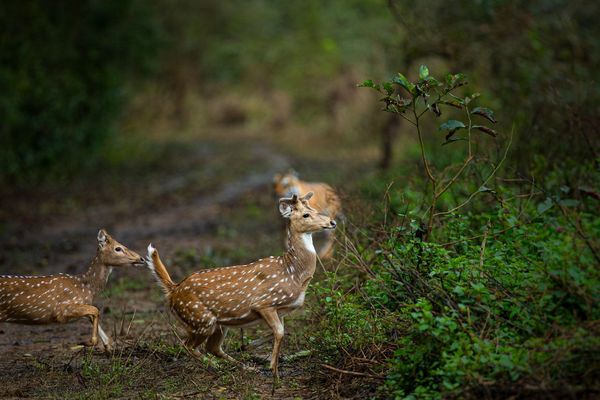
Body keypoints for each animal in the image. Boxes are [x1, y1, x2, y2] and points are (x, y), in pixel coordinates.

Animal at [0, 230, 145, 348]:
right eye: (118, 248)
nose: (141, 258)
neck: (87, 287)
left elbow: (93, 315)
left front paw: (108, 346)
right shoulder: (62, 309)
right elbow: (95, 310)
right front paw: (88, 342)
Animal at [145, 192, 332, 376]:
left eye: (315, 209)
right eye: (305, 214)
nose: (332, 222)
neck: (293, 273)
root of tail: (173, 290)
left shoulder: (281, 310)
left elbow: (282, 331)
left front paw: (248, 347)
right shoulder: (264, 303)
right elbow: (279, 332)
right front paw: (273, 368)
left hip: (218, 324)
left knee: (212, 347)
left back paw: (244, 367)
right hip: (200, 319)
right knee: (187, 345)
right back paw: (217, 367)